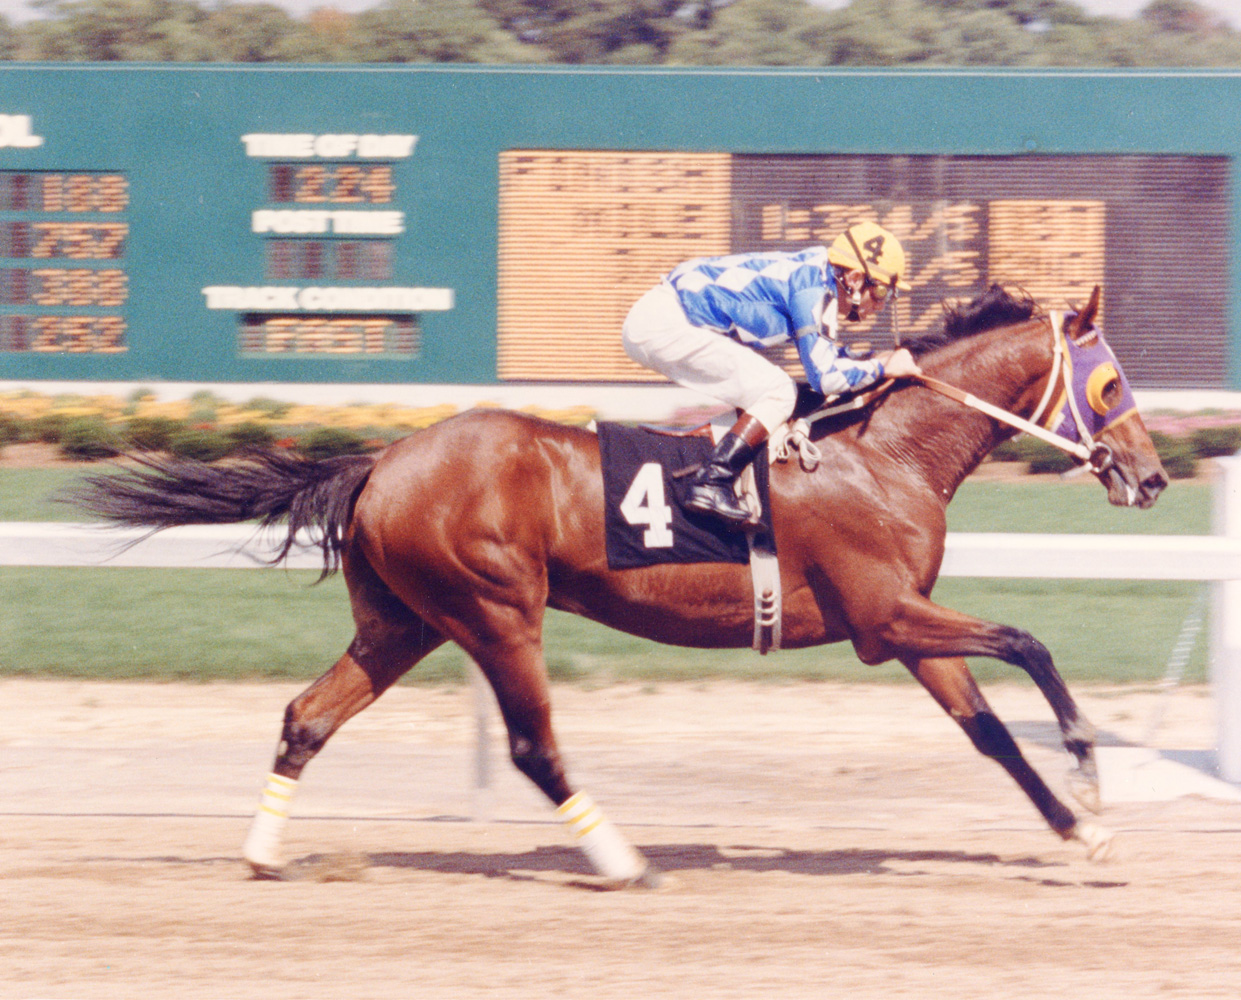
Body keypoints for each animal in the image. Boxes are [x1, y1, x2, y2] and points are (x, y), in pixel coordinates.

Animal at [72, 287, 1166, 883]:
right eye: (1111, 384)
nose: (1150, 477)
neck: (880, 449)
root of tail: (384, 456)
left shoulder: (898, 626)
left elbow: (988, 732)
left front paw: (1083, 832)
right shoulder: (885, 614)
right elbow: (1029, 642)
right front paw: (1085, 763)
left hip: (402, 623)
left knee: (307, 715)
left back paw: (263, 854)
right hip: (494, 610)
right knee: (531, 744)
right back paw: (622, 863)